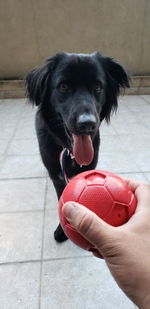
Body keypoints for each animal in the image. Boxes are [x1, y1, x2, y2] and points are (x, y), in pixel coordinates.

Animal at [25, 51, 129, 242]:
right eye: (64, 86)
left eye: (97, 87)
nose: (87, 124)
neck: (70, 151)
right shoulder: (58, 177)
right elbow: (62, 198)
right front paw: (62, 229)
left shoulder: (87, 169)